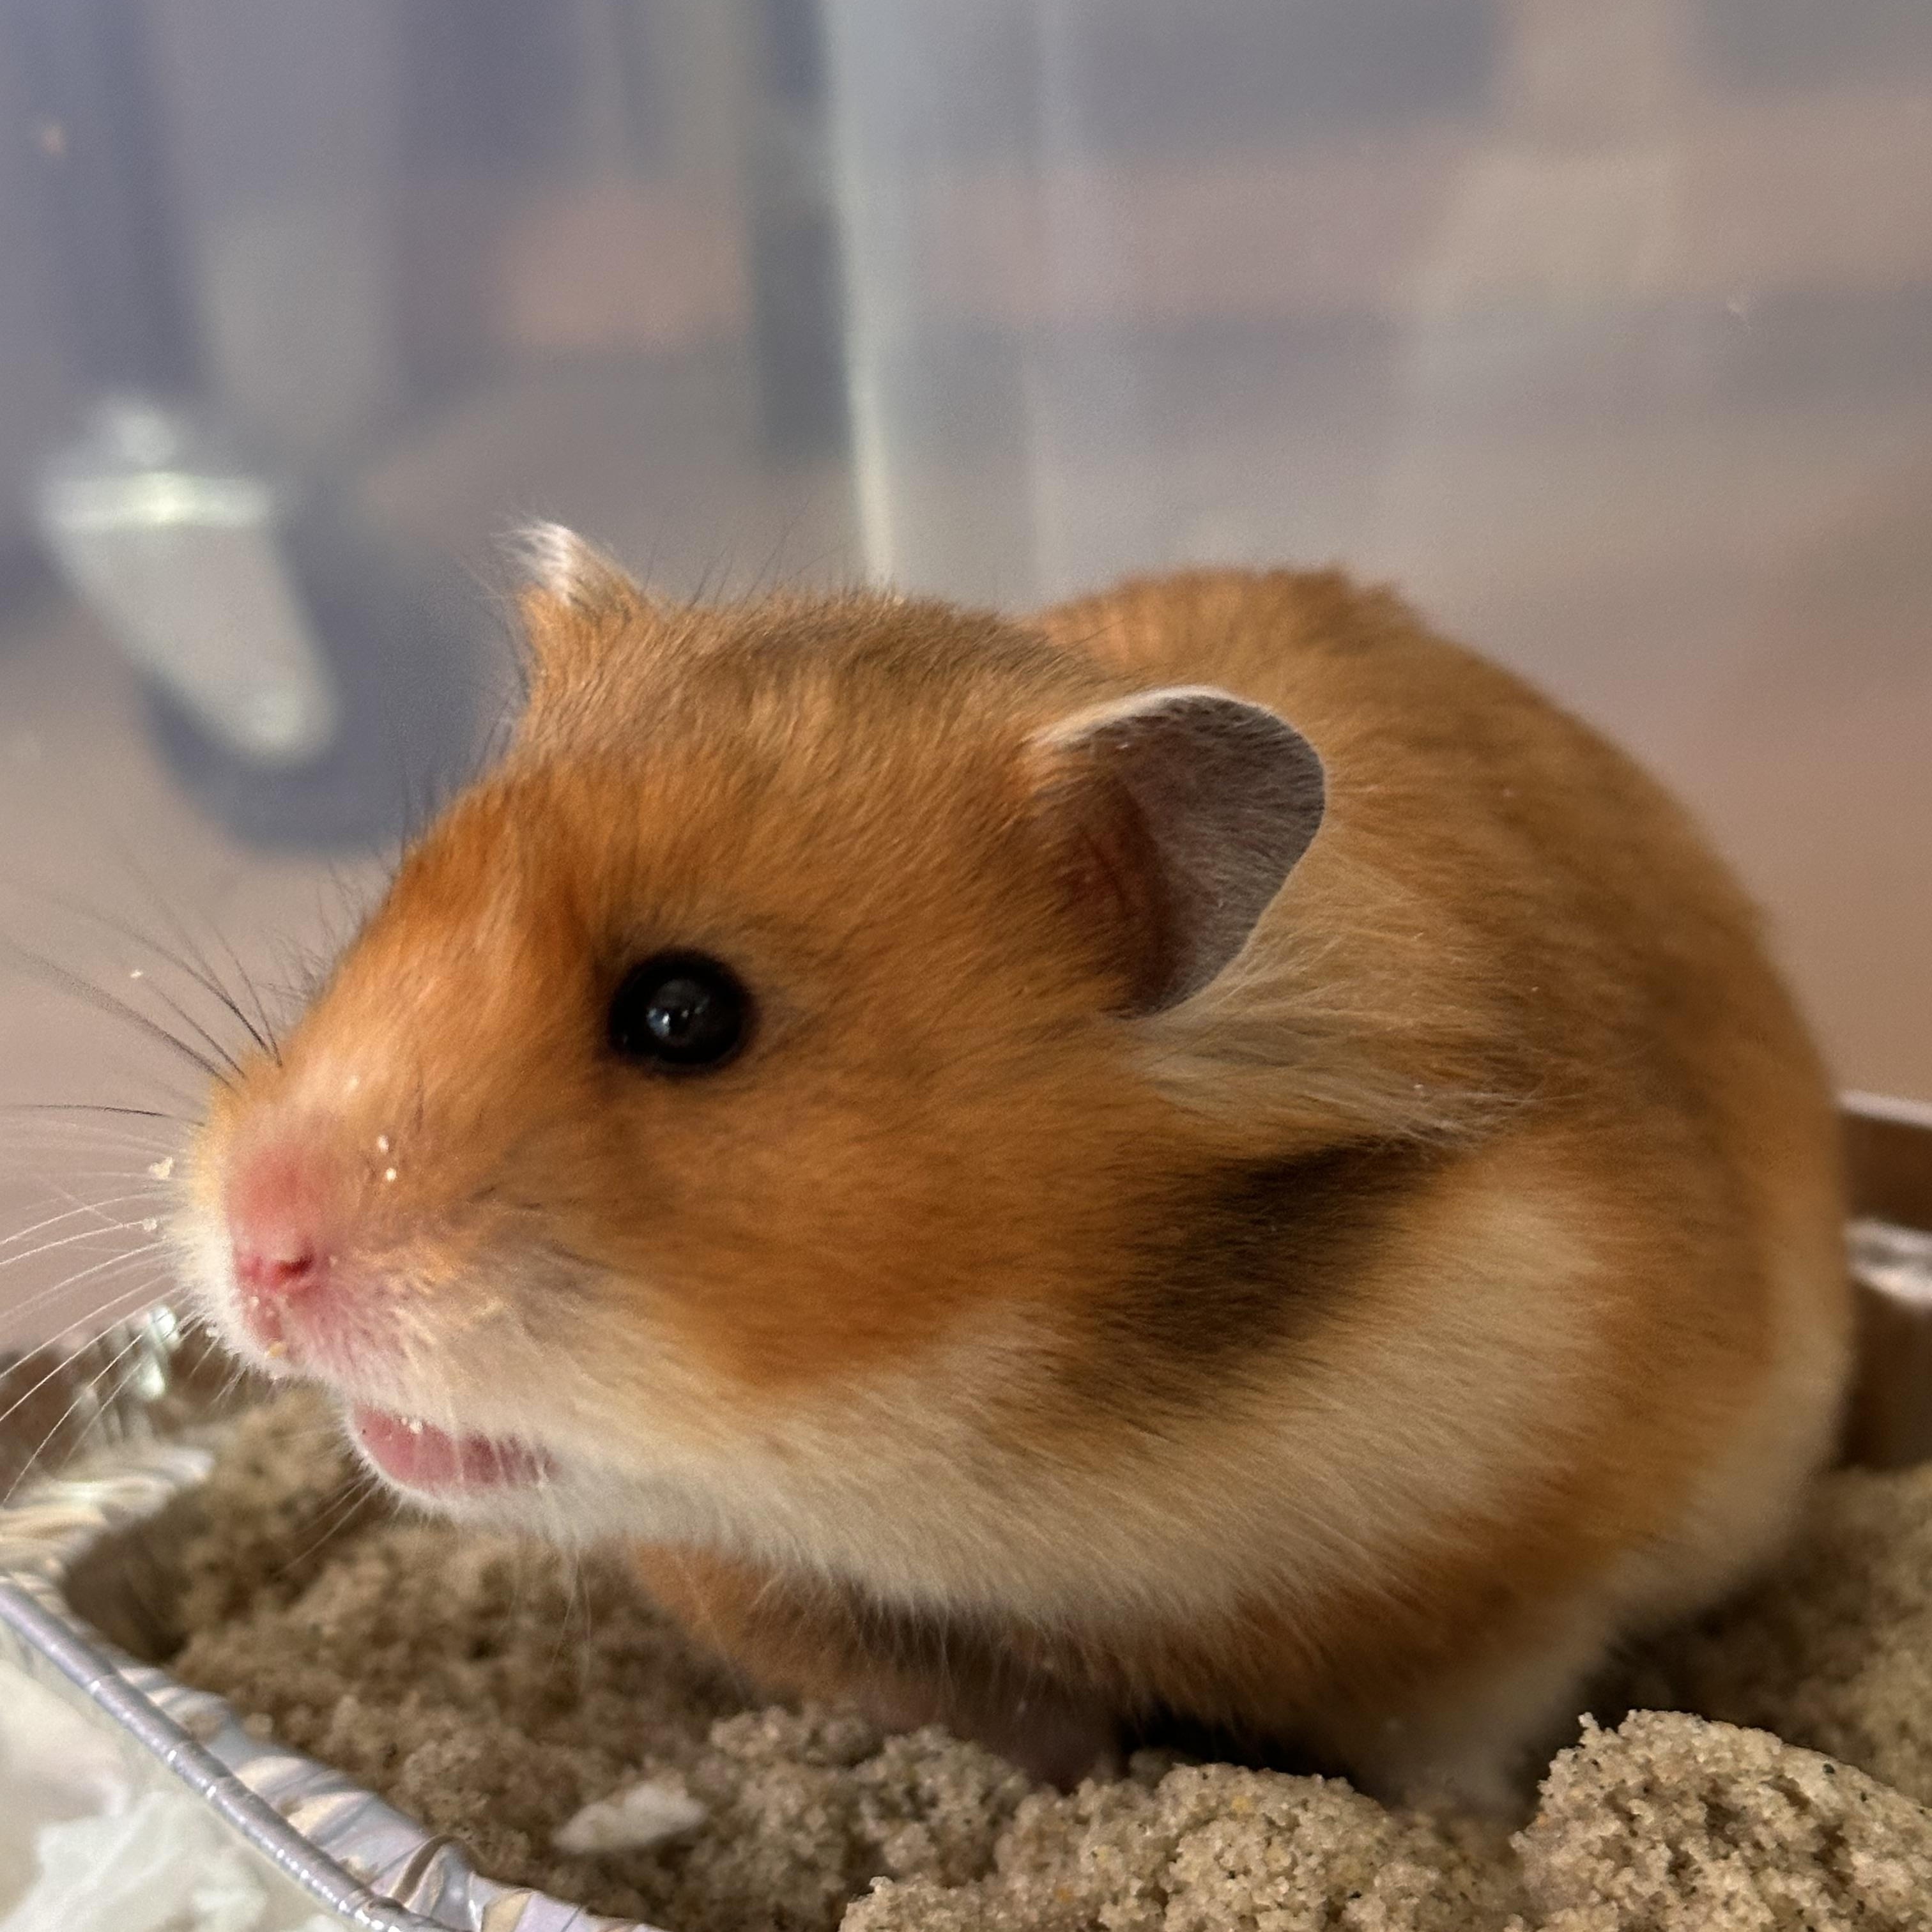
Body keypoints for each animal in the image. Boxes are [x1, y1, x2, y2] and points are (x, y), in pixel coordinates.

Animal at [179, 532, 1852, 1810]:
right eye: (392, 898)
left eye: (684, 1015)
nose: (253, 1256)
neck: (997, 1434)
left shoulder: (1523, 1587)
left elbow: (1452, 1742)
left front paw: (1469, 1845)